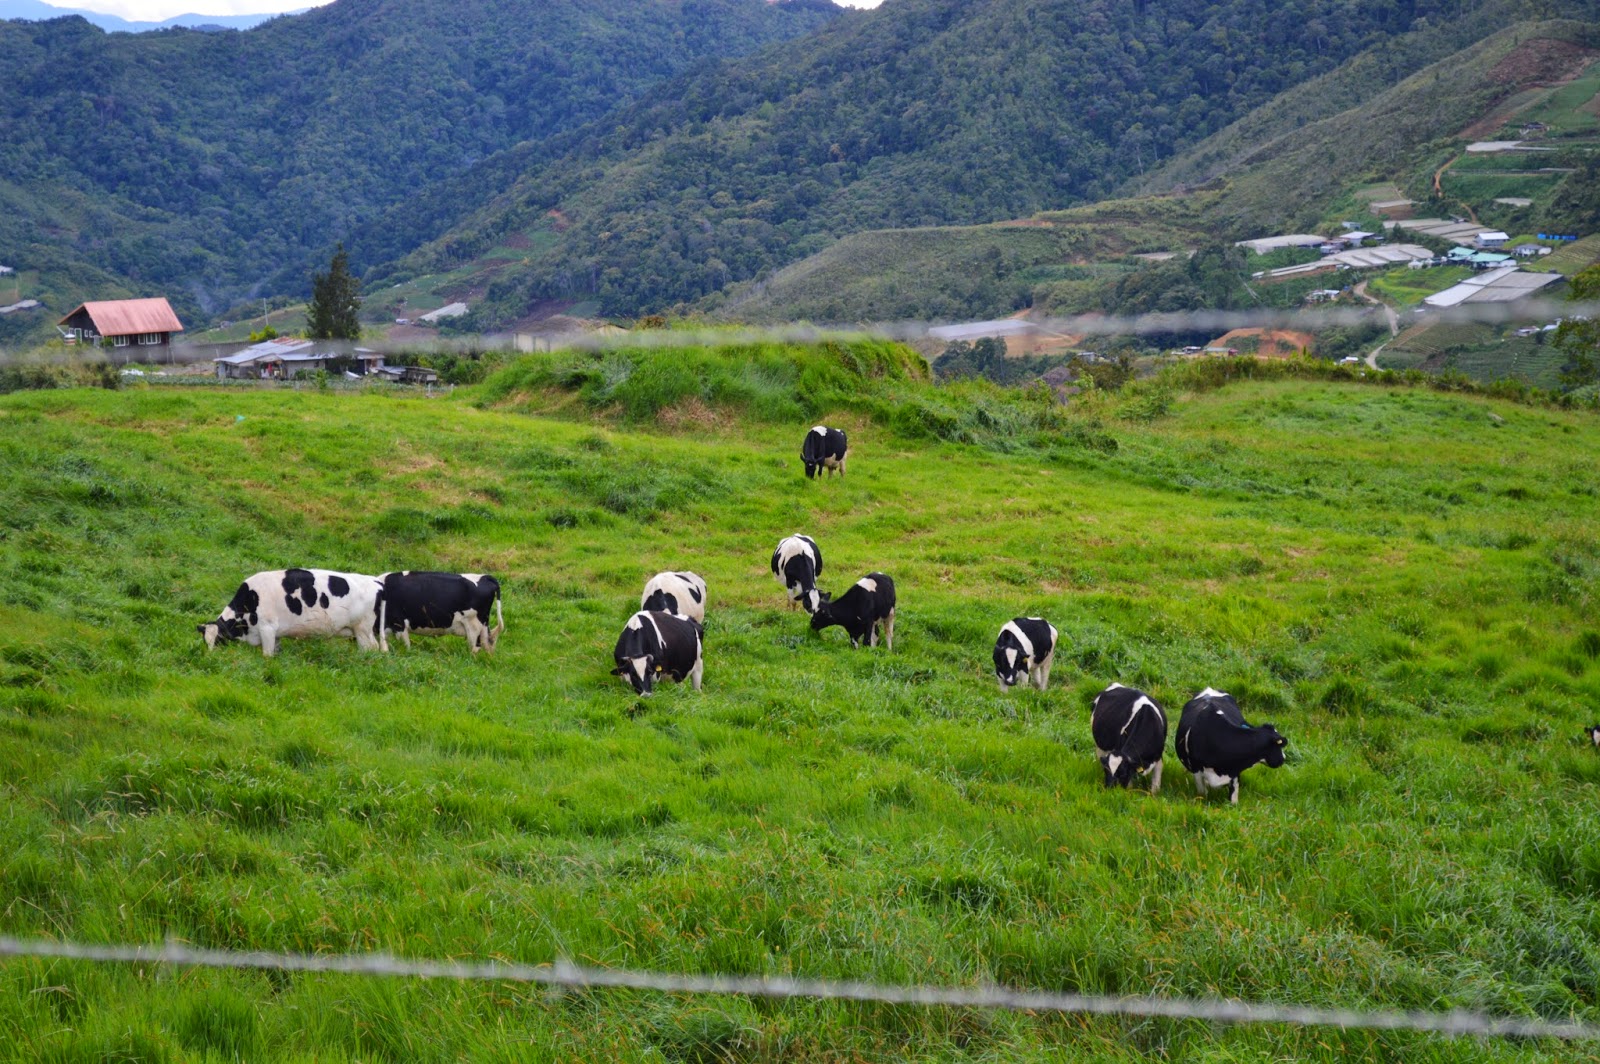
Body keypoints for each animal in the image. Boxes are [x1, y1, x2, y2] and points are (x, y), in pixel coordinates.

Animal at [200, 563, 387, 656]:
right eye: (205, 641)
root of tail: (375, 581)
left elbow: (267, 655)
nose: (210, 656)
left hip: (363, 629)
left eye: (218, 639)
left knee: (371, 648)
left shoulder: (267, 628)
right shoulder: (275, 635)